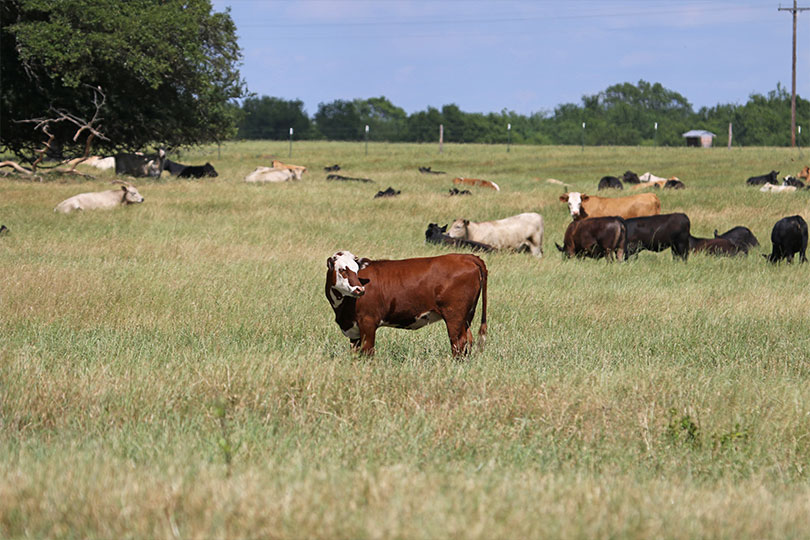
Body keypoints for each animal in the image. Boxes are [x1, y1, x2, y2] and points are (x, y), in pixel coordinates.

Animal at [325, 251, 488, 357]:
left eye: (357, 270)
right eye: (342, 270)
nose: (360, 289)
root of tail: (466, 256)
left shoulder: (368, 322)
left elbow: (367, 352)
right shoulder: (354, 331)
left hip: (454, 316)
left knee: (458, 343)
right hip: (466, 317)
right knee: (468, 341)